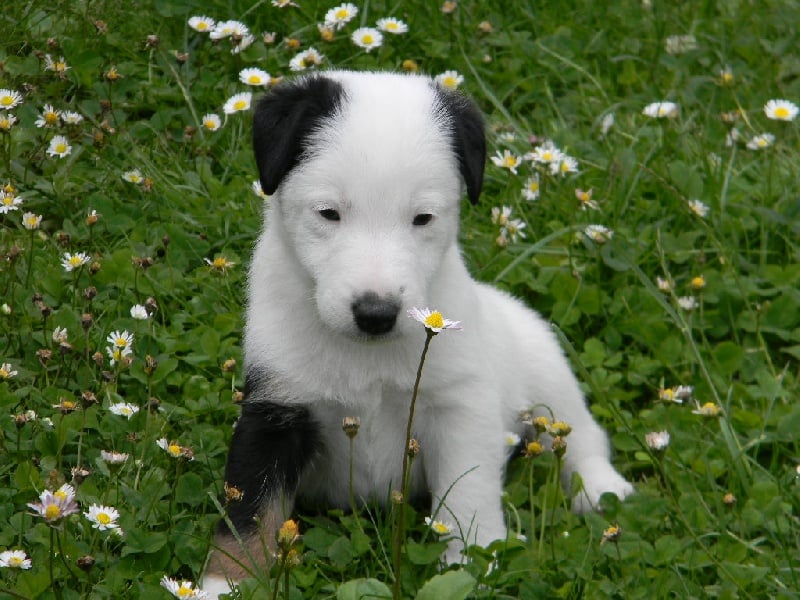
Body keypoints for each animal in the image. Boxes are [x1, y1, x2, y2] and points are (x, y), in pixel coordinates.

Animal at [203, 70, 636, 596]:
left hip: (544, 368)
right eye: (328, 213)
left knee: (580, 433)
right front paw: (222, 584)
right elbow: (249, 510)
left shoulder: (459, 406)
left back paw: (601, 489)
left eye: (423, 218)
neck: (367, 356)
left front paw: (471, 567)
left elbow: (468, 496)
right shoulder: (275, 408)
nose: (376, 313)